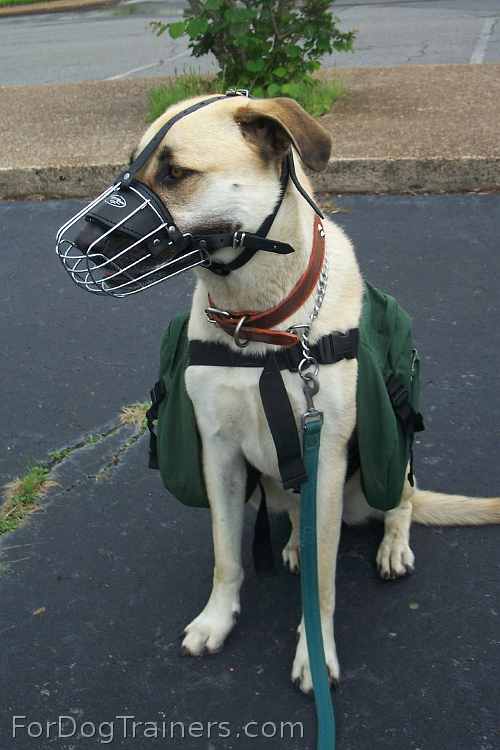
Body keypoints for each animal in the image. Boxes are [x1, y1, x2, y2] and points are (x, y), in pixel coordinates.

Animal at [132, 94, 500, 692]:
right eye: (130, 166)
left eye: (175, 173)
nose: (76, 243)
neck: (258, 325)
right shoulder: (220, 455)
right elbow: (226, 556)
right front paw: (217, 619)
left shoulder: (324, 458)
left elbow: (324, 585)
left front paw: (315, 651)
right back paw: (293, 546)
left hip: (385, 475)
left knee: (400, 503)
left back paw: (392, 544)